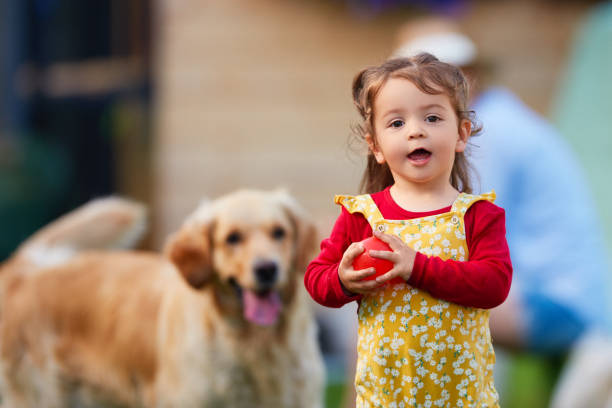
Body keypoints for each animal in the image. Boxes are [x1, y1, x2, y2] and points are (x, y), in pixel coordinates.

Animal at [0, 190, 326, 408]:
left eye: (279, 232)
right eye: (232, 238)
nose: (267, 269)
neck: (254, 344)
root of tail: (25, 271)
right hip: (44, 395)